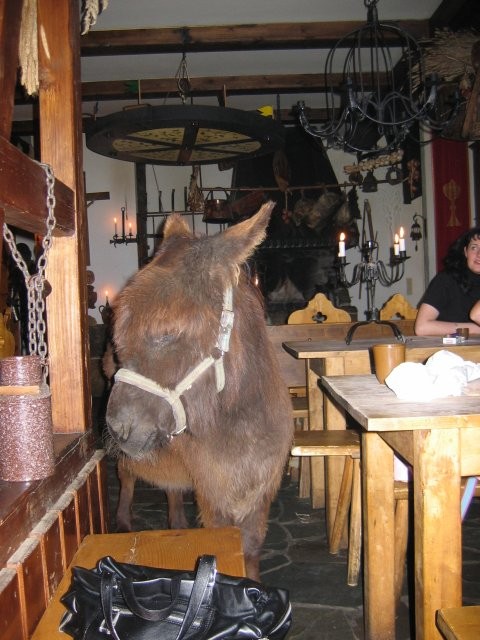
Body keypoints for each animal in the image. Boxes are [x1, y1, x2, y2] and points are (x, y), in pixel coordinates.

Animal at [104, 202, 292, 576]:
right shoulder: (213, 495)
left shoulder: (260, 491)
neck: (239, 424)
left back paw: (177, 524)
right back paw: (123, 522)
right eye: (118, 337)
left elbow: (251, 551)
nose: (116, 428)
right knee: (126, 474)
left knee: (171, 488)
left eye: (165, 334)